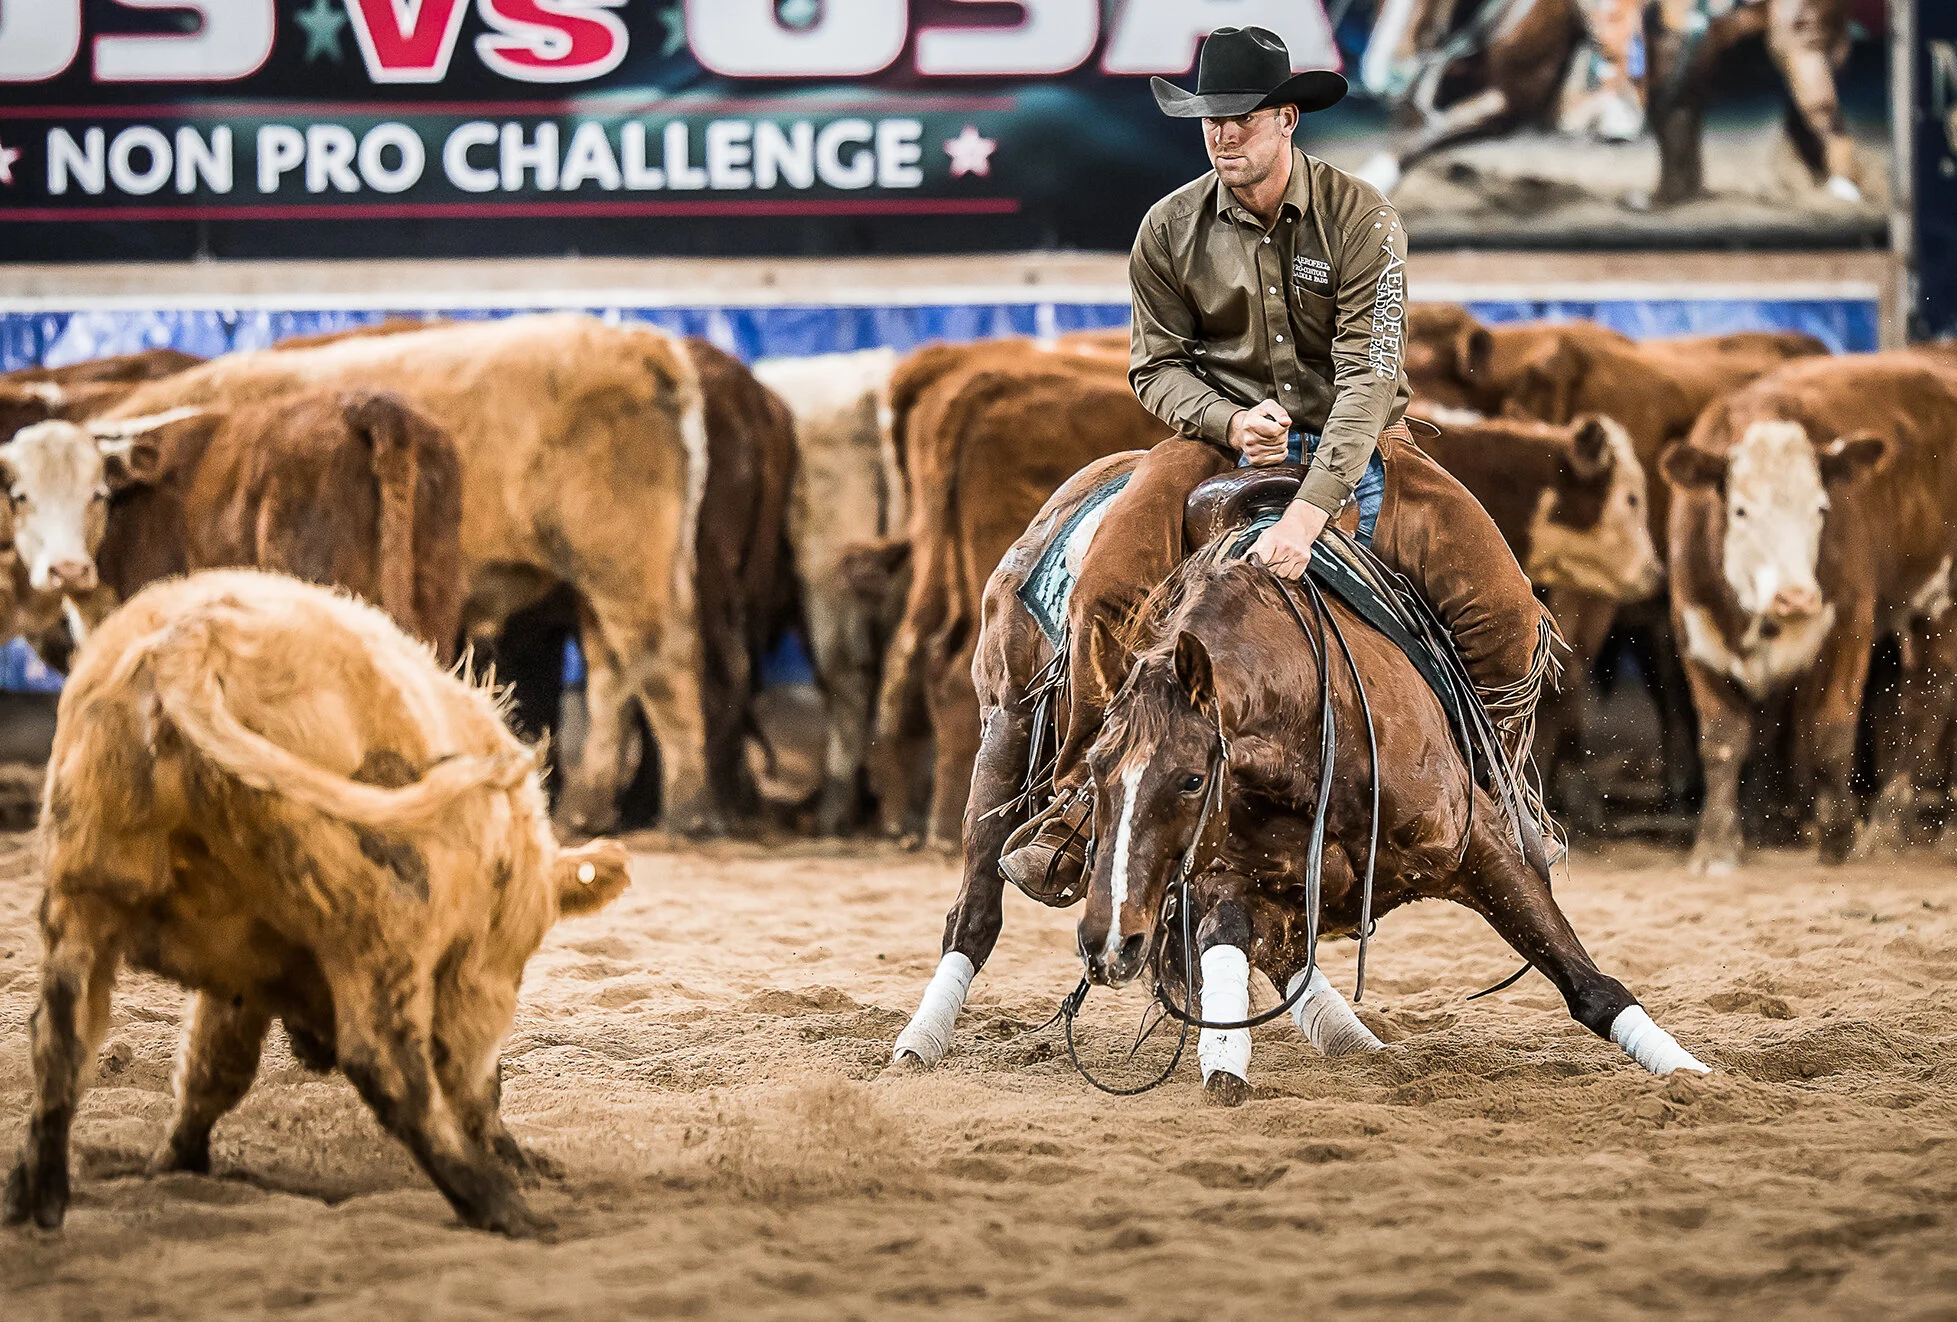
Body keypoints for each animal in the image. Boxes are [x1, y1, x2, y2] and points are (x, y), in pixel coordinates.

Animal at [893, 461, 1710, 1100]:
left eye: (1191, 780)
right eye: (1093, 772)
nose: (1106, 943)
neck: (1319, 727)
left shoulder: (1479, 845)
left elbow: (1584, 981)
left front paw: (1689, 1073)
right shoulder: (1218, 875)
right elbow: (1224, 950)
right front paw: (1223, 1062)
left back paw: (1355, 1043)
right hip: (1002, 732)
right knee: (974, 912)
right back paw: (918, 1040)